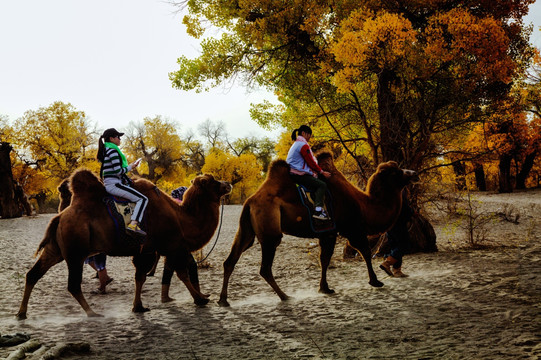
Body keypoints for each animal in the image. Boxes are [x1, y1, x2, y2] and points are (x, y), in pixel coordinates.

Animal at [15, 170, 231, 320]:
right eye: (212, 181)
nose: (228, 184)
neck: (181, 218)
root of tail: (59, 217)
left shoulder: (147, 250)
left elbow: (140, 277)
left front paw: (138, 307)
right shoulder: (172, 245)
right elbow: (182, 274)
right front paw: (201, 299)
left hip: (55, 249)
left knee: (32, 274)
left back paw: (21, 313)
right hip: (76, 252)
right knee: (73, 284)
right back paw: (92, 313)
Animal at [216, 153, 418, 306]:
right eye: (396, 172)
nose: (414, 173)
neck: (364, 205)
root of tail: (250, 201)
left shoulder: (328, 233)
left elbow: (324, 259)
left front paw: (325, 288)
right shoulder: (352, 228)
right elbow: (365, 252)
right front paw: (375, 281)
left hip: (246, 230)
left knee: (230, 261)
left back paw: (223, 300)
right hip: (270, 232)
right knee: (265, 267)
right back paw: (285, 296)